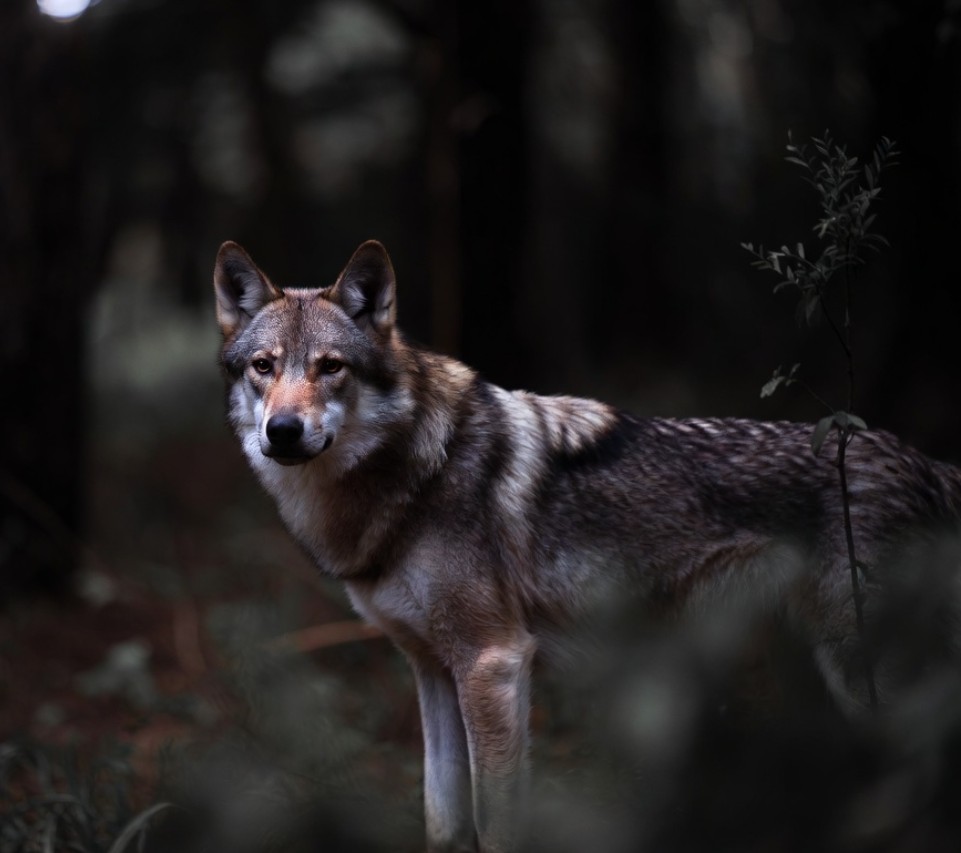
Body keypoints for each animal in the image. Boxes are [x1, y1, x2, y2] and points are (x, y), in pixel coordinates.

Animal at [213, 239, 961, 853]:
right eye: (264, 367)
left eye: (330, 367)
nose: (282, 430)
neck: (413, 473)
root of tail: (926, 464)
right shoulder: (431, 669)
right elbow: (443, 823)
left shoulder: (493, 664)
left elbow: (497, 827)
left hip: (863, 676)